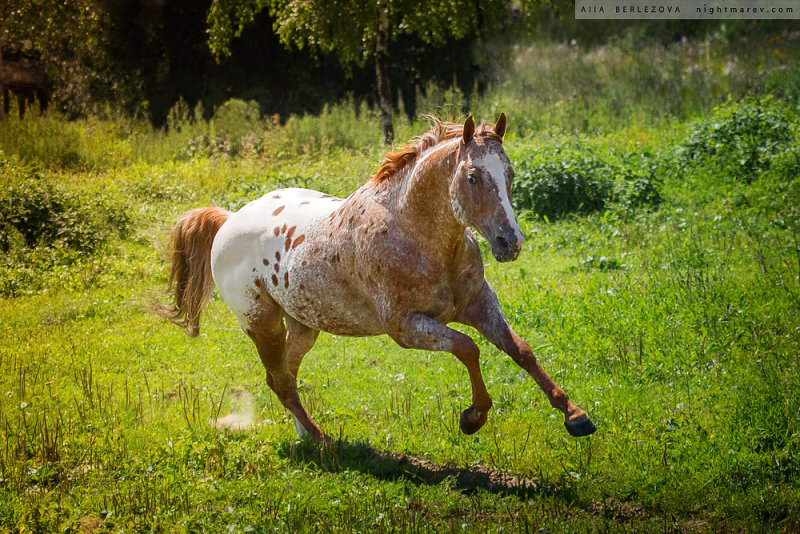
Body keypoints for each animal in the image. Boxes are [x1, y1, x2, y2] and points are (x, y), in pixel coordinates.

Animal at [156, 115, 592, 446]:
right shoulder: (405, 326)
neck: (415, 235)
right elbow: (468, 349)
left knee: (284, 377)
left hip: (303, 325)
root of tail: (229, 220)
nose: (509, 242)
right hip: (262, 323)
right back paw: (322, 440)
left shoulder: (480, 303)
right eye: (472, 176)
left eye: (510, 174)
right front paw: (472, 418)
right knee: (280, 380)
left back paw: (307, 435)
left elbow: (521, 350)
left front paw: (576, 416)